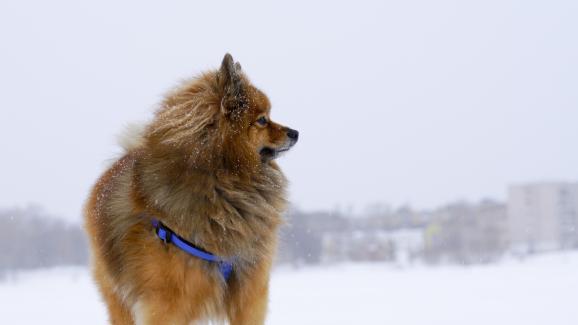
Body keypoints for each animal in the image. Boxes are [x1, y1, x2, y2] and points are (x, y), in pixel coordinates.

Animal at [84, 54, 296, 322]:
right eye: (262, 120)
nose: (295, 133)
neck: (220, 180)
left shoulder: (249, 293)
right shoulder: (167, 303)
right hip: (119, 299)